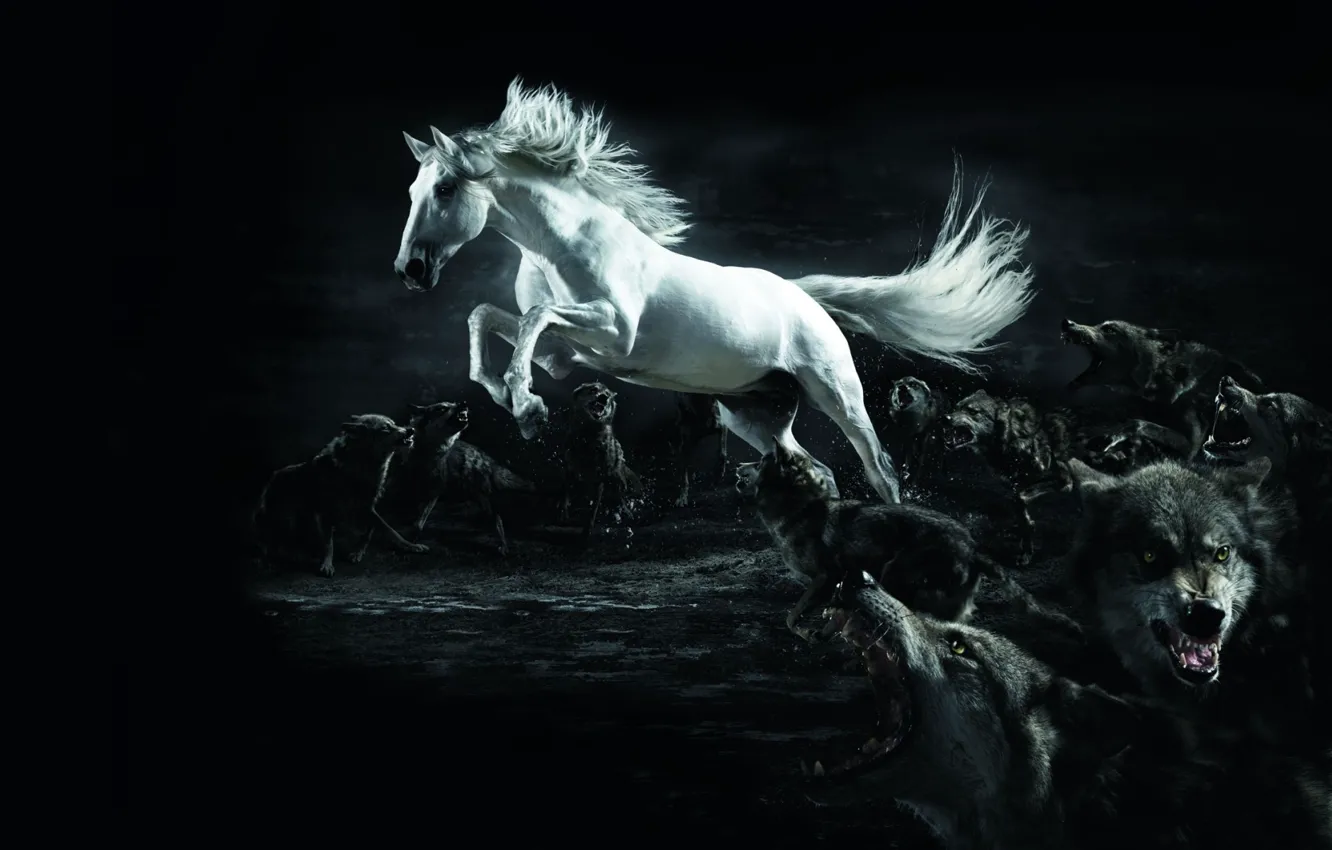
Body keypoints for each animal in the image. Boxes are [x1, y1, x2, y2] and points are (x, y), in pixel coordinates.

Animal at [253, 414, 428, 577]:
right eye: (385, 428)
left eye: (394, 424)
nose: (411, 430)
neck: (360, 469)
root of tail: (272, 477)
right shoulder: (325, 512)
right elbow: (328, 544)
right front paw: (327, 564)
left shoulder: (368, 507)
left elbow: (388, 530)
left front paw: (410, 546)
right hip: (282, 517)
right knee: (267, 539)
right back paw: (269, 558)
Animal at [392, 79, 1035, 504]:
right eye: (413, 189)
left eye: (445, 188)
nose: (410, 270)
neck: (562, 244)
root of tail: (806, 300)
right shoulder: (565, 354)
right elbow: (488, 317)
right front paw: (512, 399)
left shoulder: (614, 334)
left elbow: (532, 318)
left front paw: (525, 406)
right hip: (756, 416)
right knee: (818, 469)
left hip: (837, 394)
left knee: (880, 468)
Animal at [562, 382, 643, 542]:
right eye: (593, 389)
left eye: (608, 395)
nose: (604, 398)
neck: (588, 437)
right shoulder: (569, 469)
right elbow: (565, 494)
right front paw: (564, 512)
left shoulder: (600, 478)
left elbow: (593, 510)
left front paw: (586, 531)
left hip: (618, 479)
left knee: (620, 496)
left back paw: (626, 512)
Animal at [734, 442, 998, 644]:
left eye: (759, 463)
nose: (738, 465)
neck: (799, 508)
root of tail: (973, 549)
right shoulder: (847, 578)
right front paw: (824, 635)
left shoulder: (826, 576)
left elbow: (792, 616)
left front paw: (809, 634)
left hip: (894, 576)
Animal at [1061, 317, 1265, 458]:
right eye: (1100, 325)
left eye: (1110, 329)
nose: (1066, 322)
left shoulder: (1191, 445)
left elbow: (1137, 423)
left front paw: (1108, 435)